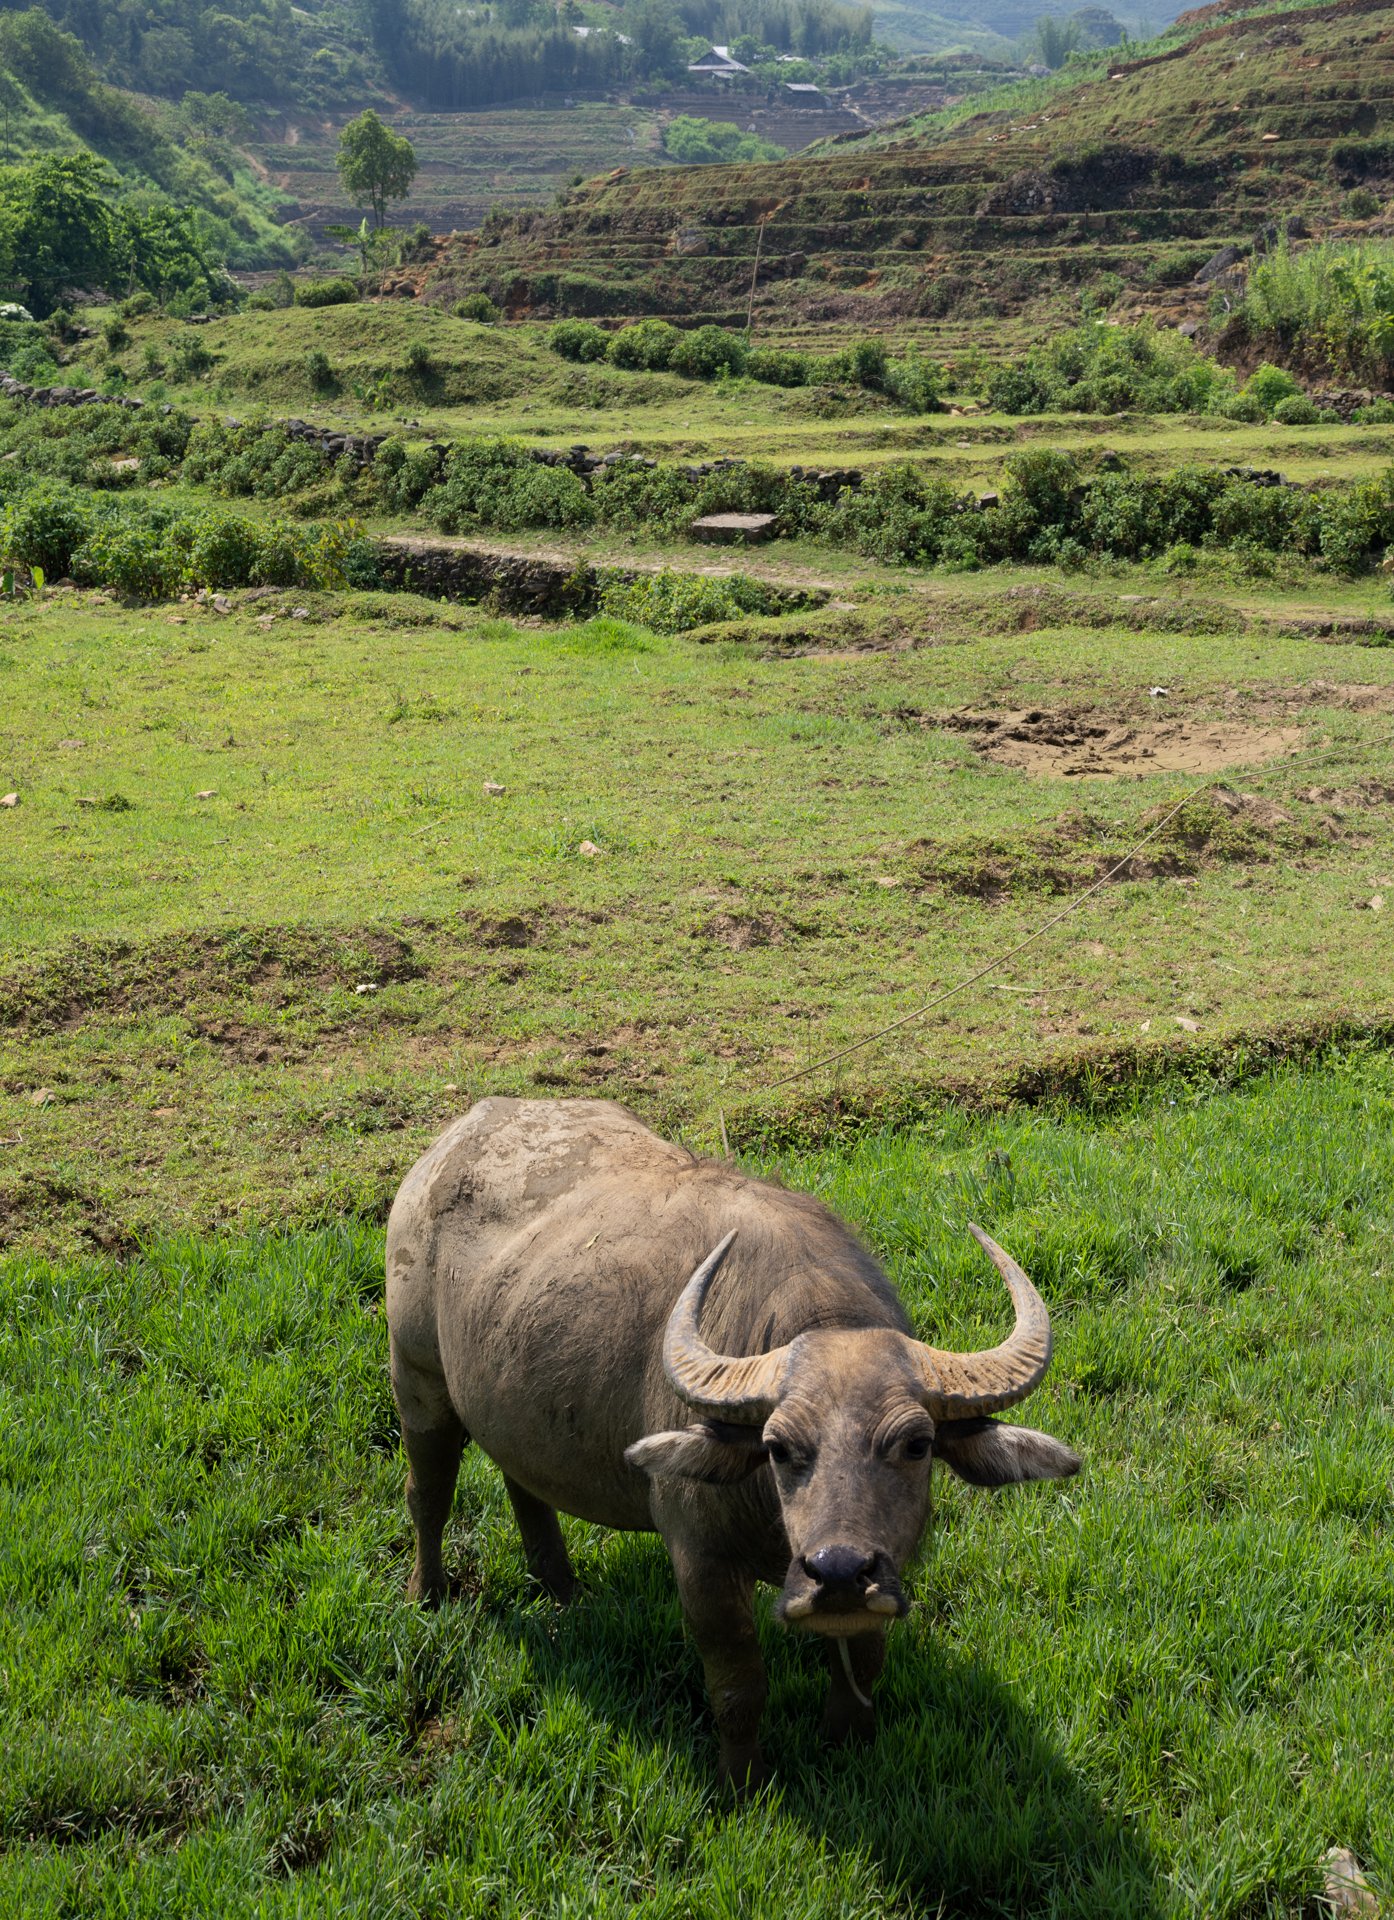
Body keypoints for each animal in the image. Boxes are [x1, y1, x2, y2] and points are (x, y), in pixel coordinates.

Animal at [387, 1098, 1082, 1781]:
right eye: (777, 1448)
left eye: (916, 1445)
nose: (838, 1572)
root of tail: (451, 1141)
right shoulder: (701, 1562)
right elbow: (739, 1686)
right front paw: (739, 1783)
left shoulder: (888, 1569)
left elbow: (864, 1661)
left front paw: (847, 1742)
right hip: (415, 1375)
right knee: (430, 1491)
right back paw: (427, 1593)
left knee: (523, 1483)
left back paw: (562, 1590)